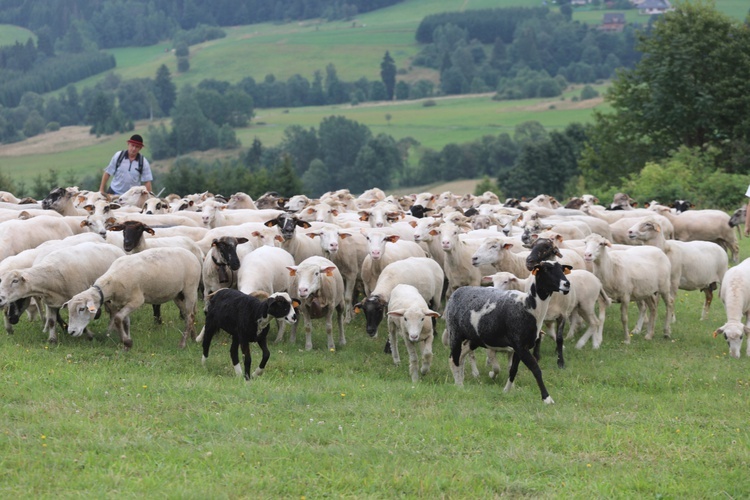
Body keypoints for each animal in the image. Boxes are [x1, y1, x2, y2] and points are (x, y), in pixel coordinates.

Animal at [63, 247, 203, 350]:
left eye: (82, 309)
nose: (71, 332)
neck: (111, 282)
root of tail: (192, 254)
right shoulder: (121, 302)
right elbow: (125, 322)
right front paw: (127, 343)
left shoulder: (137, 300)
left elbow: (118, 318)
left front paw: (127, 342)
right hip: (177, 295)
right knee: (188, 315)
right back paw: (193, 337)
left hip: (190, 289)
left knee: (190, 317)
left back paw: (183, 343)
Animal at [444, 260, 572, 404]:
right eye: (546, 270)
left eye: (562, 269)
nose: (567, 284)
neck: (530, 306)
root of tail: (458, 291)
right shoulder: (520, 345)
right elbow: (536, 369)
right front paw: (547, 398)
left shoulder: (519, 347)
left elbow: (513, 369)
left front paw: (506, 391)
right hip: (455, 332)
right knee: (454, 359)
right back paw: (459, 385)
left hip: (475, 338)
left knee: (460, 357)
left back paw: (460, 383)